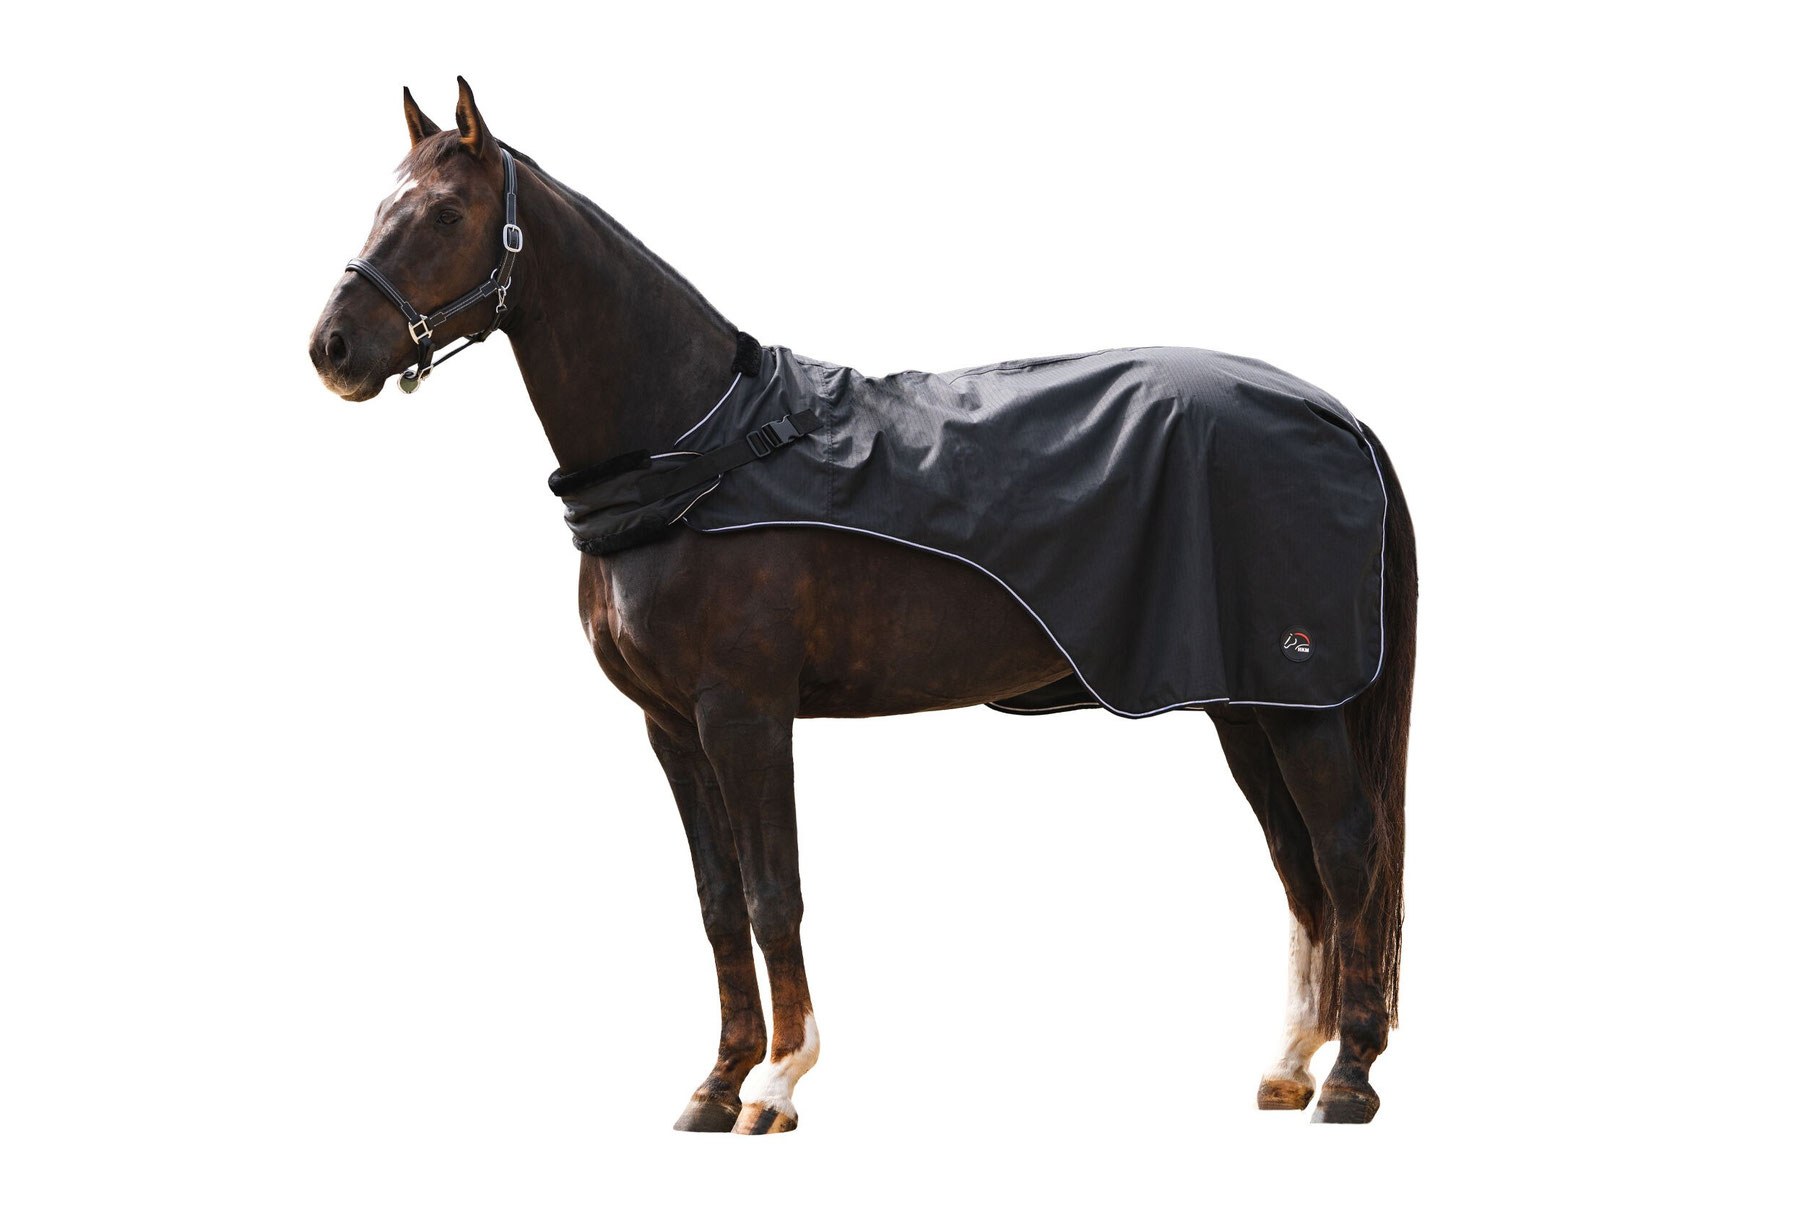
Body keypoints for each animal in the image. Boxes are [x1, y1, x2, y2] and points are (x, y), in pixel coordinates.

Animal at [309, 79, 1416, 1129]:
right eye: (379, 202)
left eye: (446, 213)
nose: (333, 349)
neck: (699, 450)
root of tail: (1337, 415)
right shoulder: (670, 726)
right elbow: (718, 903)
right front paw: (717, 1082)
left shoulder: (745, 714)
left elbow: (773, 894)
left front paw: (776, 1082)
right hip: (1246, 703)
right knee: (1298, 862)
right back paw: (1290, 1063)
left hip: (1299, 702)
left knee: (1349, 852)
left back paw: (1350, 1077)